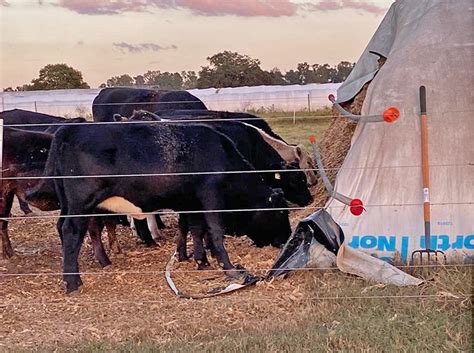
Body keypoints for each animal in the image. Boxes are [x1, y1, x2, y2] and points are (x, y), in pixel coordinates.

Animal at [26, 121, 292, 292]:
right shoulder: (210, 195)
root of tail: (69, 129)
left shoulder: (190, 201)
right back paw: (74, 283)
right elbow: (215, 231)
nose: (286, 239)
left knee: (62, 228)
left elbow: (195, 229)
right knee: (72, 230)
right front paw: (229, 268)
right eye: (281, 212)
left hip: (69, 203)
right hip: (82, 202)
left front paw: (201, 261)